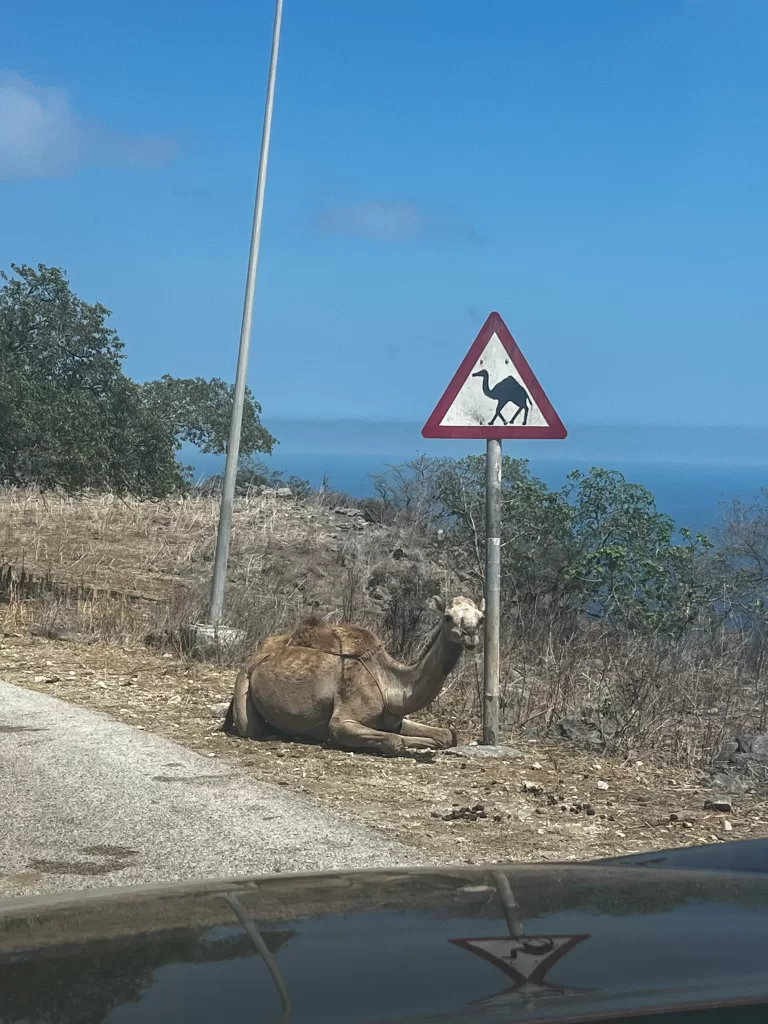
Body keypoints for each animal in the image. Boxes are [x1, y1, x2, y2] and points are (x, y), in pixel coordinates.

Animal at [223, 595, 484, 755]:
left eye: (481, 618)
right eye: (448, 617)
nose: (470, 634)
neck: (388, 684)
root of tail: (258, 654)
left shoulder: (394, 718)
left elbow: (448, 734)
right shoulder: (342, 721)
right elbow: (393, 740)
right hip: (243, 681)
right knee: (250, 728)